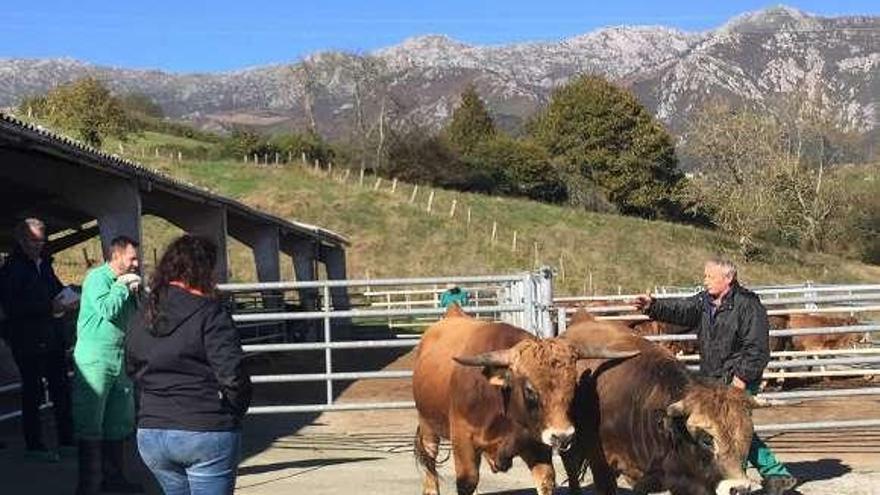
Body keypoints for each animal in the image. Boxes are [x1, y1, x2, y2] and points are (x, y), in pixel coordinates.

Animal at [414, 306, 640, 495]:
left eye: (573, 386)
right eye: (530, 390)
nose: (563, 437)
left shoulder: (537, 444)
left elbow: (546, 480)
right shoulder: (463, 441)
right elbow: (467, 482)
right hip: (428, 427)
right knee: (430, 463)